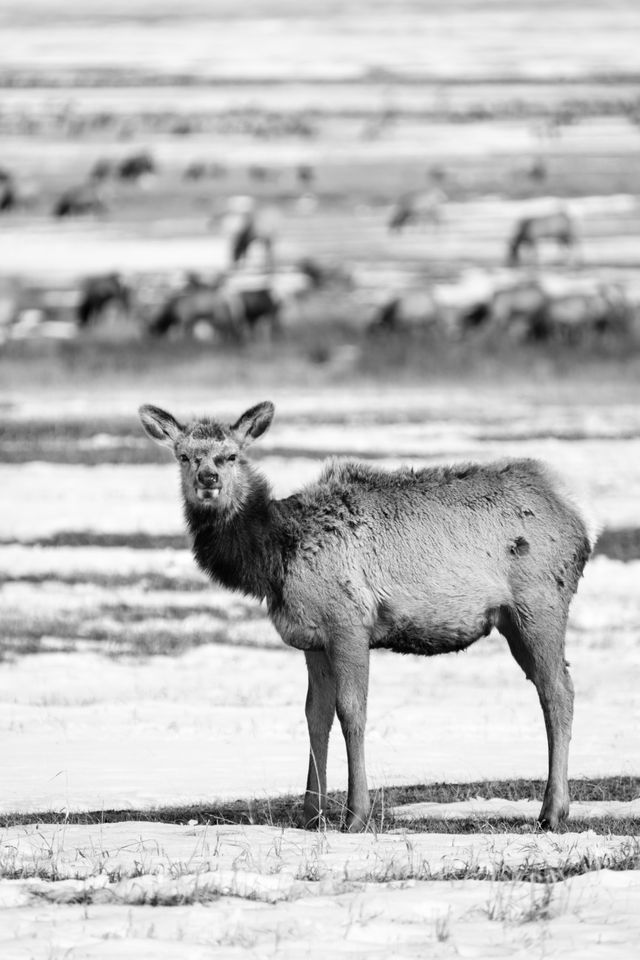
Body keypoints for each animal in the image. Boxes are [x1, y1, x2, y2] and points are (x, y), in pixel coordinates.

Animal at [139, 402, 596, 828]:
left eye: (231, 455)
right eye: (184, 455)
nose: (208, 479)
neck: (275, 559)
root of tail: (580, 521)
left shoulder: (348, 623)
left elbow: (352, 712)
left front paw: (355, 814)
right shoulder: (312, 639)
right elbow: (315, 716)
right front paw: (311, 814)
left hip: (539, 603)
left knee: (558, 691)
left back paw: (553, 811)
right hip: (512, 619)